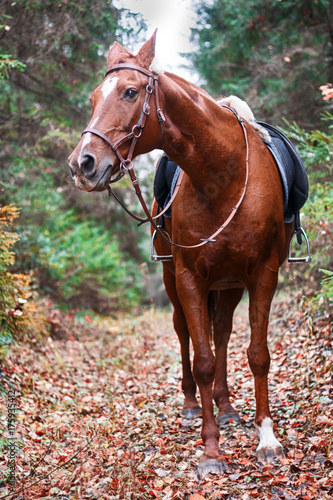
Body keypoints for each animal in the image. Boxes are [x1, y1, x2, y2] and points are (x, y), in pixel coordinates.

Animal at [68, 32, 294, 476]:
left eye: (130, 92)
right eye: (92, 98)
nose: (81, 163)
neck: (223, 176)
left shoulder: (263, 274)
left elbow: (257, 354)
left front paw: (267, 439)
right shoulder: (190, 277)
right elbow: (202, 358)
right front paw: (211, 451)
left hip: (229, 285)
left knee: (221, 333)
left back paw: (227, 407)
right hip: (175, 281)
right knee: (186, 332)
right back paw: (193, 405)